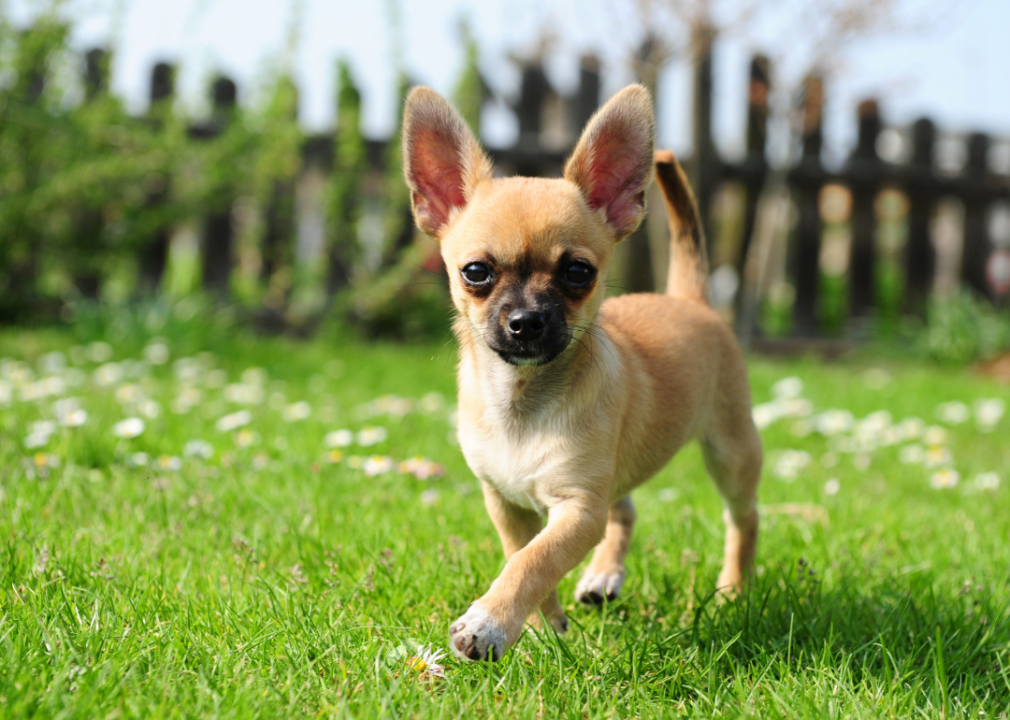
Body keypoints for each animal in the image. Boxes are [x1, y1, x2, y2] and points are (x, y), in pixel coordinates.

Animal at [397, 81, 759, 658]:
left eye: (577, 272)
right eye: (475, 272)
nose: (526, 321)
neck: (521, 401)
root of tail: (690, 298)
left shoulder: (578, 510)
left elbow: (531, 562)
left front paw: (489, 622)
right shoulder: (507, 505)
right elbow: (522, 557)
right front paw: (543, 627)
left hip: (731, 451)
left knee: (743, 519)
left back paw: (733, 590)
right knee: (626, 508)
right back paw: (603, 576)